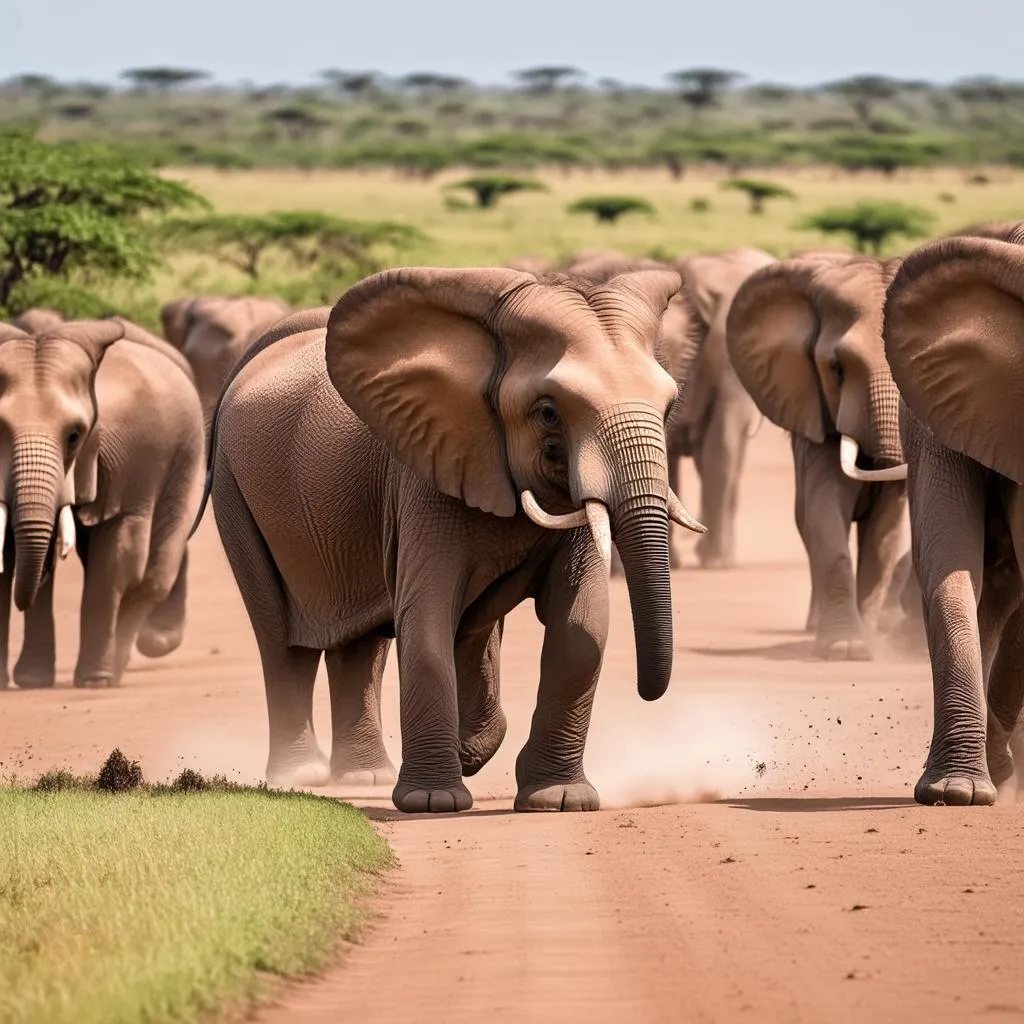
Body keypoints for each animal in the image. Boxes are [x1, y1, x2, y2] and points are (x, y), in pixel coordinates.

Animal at [0, 319, 205, 688]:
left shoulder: (135, 459)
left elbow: (118, 557)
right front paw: (30, 681)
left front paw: (94, 681)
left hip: (186, 457)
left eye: (74, 436)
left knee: (154, 574)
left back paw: (122, 662)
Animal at [203, 266, 708, 815]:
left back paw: (366, 776)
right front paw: (434, 801)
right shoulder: (423, 476)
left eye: (671, 405)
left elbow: (578, 625)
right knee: (280, 639)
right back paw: (303, 776)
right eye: (548, 412)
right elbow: (427, 616)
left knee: (363, 641)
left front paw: (555, 799)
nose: (649, 693)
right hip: (234, 491)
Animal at [724, 251, 909, 659]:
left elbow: (883, 535)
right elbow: (825, 512)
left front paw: (867, 645)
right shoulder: (817, 417)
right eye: (836, 369)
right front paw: (845, 648)